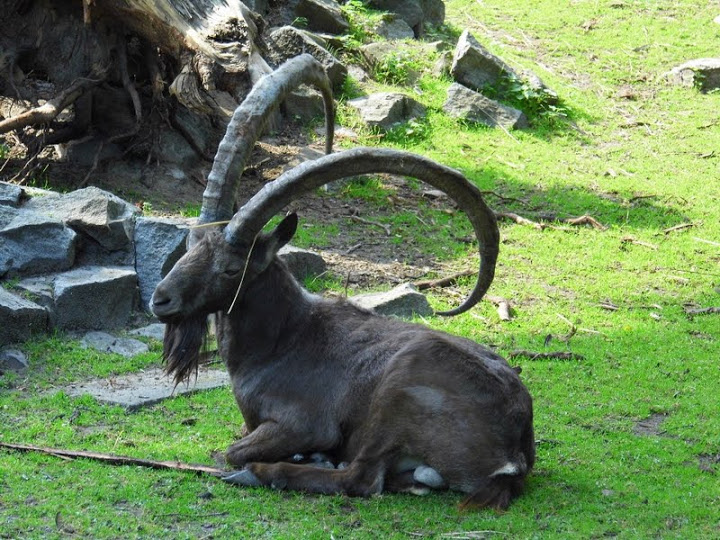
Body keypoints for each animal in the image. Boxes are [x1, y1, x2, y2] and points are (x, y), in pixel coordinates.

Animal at [150, 57, 534, 510]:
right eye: (190, 245)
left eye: (230, 269)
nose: (161, 301)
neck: (283, 340)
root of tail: (513, 453)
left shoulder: (305, 423)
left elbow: (231, 449)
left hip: (396, 392)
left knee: (362, 479)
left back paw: (267, 472)